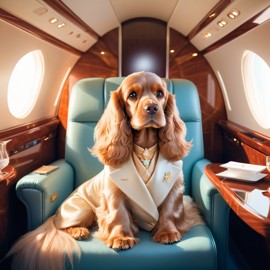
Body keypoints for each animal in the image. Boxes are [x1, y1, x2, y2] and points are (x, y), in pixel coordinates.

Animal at [7, 71, 202, 270]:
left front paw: (166, 232)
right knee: (61, 226)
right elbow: (118, 213)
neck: (146, 149)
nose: (153, 108)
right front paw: (121, 237)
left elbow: (170, 210)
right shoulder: (114, 193)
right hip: (82, 208)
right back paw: (78, 230)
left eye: (160, 94)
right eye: (132, 95)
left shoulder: (174, 188)